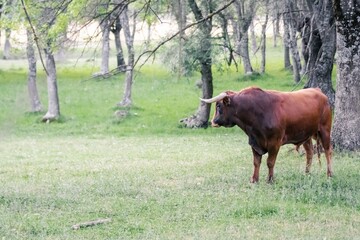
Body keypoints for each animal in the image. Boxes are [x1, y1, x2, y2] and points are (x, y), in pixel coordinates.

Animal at [201, 87, 334, 183]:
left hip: (324, 130)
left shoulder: (274, 143)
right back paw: (307, 173)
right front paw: (254, 179)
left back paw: (329, 174)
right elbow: (256, 162)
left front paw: (270, 180)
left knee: (328, 151)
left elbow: (270, 162)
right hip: (306, 135)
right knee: (310, 153)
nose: (213, 122)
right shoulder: (254, 142)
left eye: (219, 105)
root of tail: (318, 91)